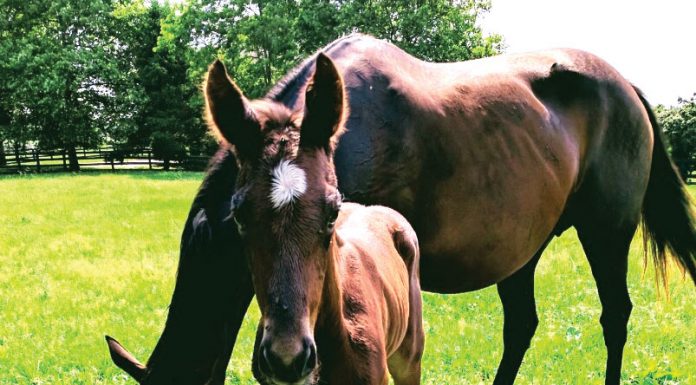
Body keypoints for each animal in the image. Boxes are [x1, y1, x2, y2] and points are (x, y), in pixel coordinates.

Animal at [104, 33, 696, 384]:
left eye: (331, 215)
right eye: (241, 217)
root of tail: (626, 88)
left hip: (606, 233)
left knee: (614, 317)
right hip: (521, 250)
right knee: (522, 325)